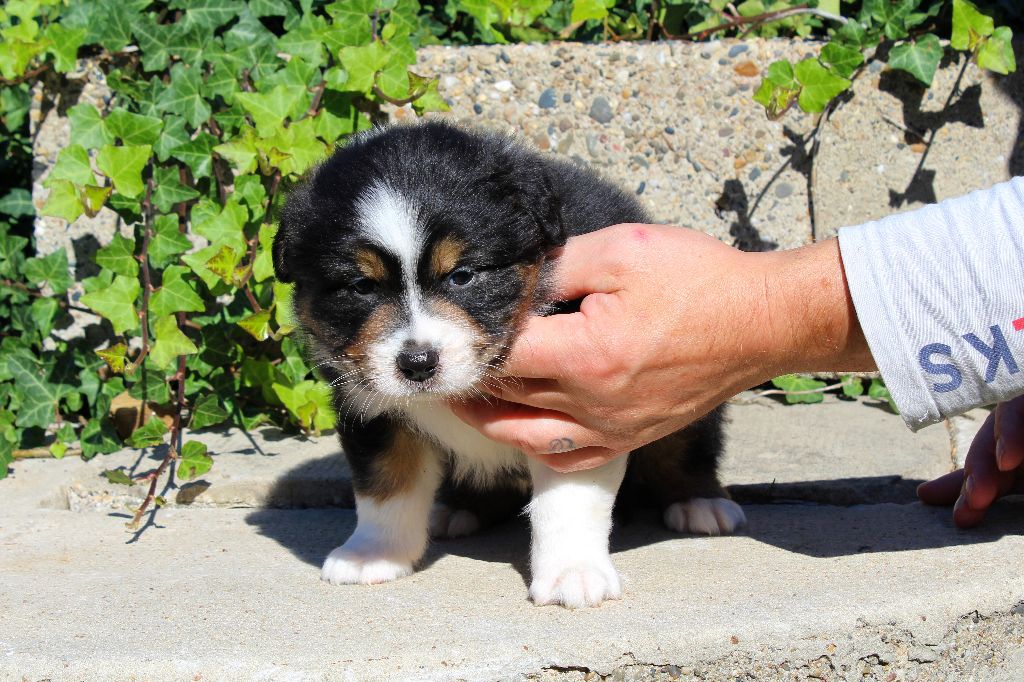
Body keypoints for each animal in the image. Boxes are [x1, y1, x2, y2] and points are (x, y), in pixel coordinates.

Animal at [273, 121, 744, 608]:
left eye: (462, 276)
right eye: (361, 287)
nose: (418, 363)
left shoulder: (577, 414)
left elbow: (568, 501)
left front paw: (573, 574)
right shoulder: (369, 407)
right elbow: (385, 485)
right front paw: (372, 555)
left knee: (686, 447)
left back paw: (700, 503)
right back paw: (457, 509)